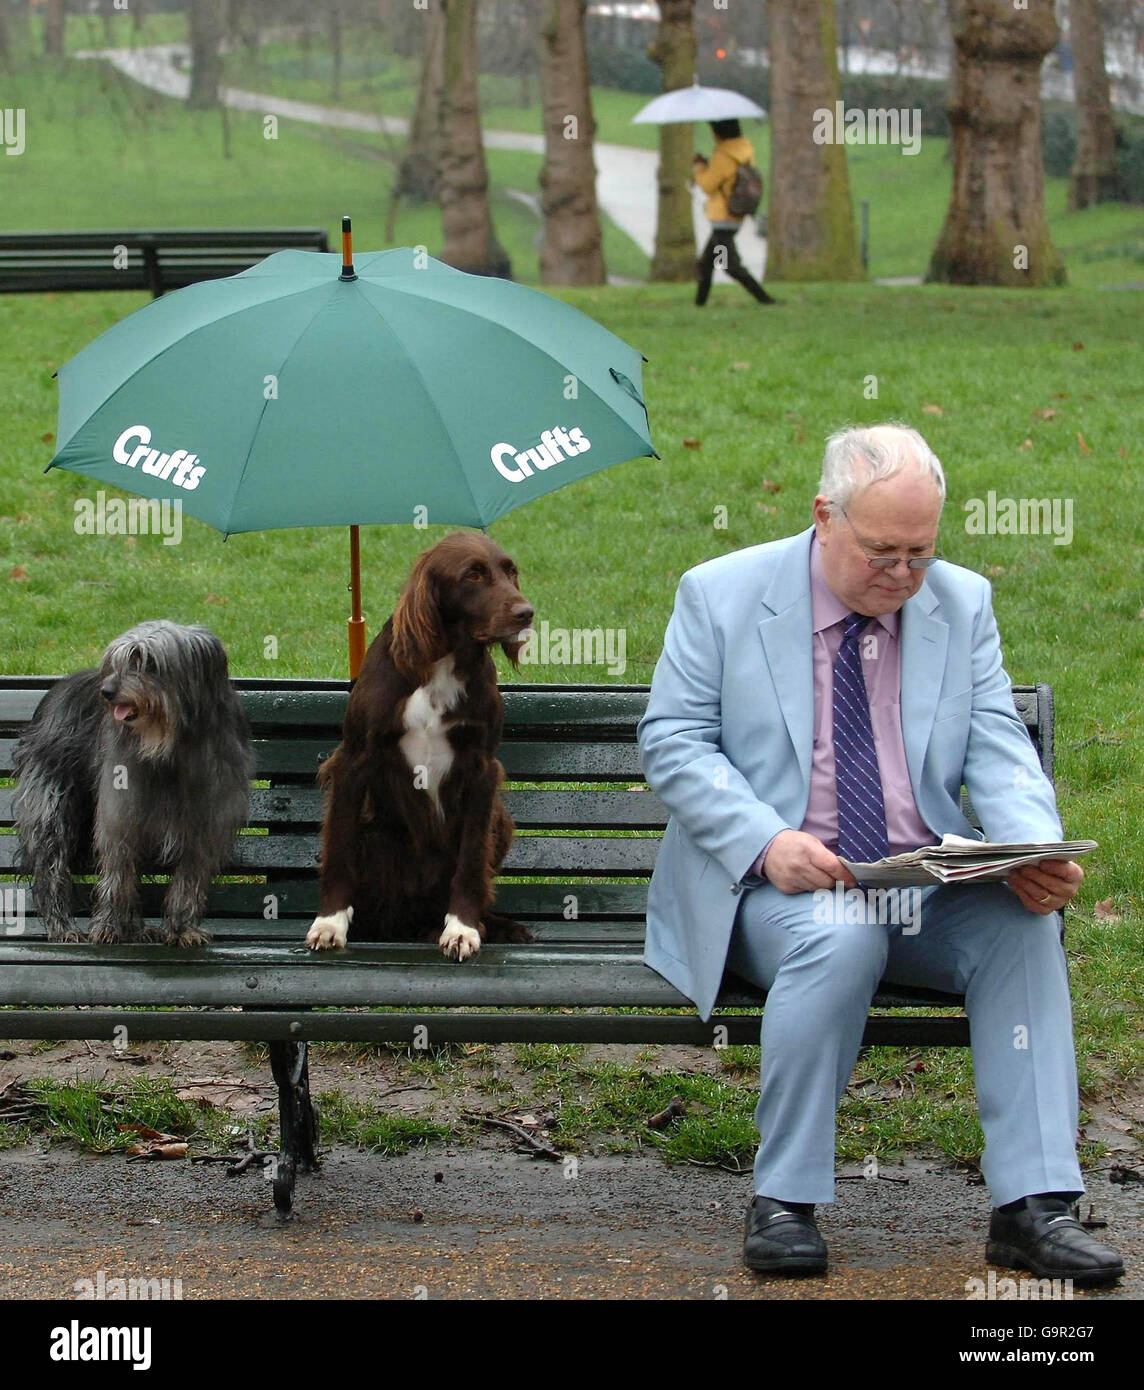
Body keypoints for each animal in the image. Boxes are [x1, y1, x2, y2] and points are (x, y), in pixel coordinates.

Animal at [13, 622, 250, 939]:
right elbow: (118, 877)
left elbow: (189, 880)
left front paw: (181, 929)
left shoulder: (206, 824)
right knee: (50, 867)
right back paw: (63, 926)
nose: (106, 691)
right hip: (50, 805)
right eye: (117, 661)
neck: (167, 747)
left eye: (148, 662)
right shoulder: (120, 815)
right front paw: (110, 926)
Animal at [304, 525, 536, 961]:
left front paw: (462, 929)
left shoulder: (482, 768)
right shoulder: (354, 759)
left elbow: (471, 862)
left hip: (499, 819)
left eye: (510, 570)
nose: (525, 612)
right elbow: (339, 850)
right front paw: (329, 923)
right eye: (473, 575)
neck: (443, 662)